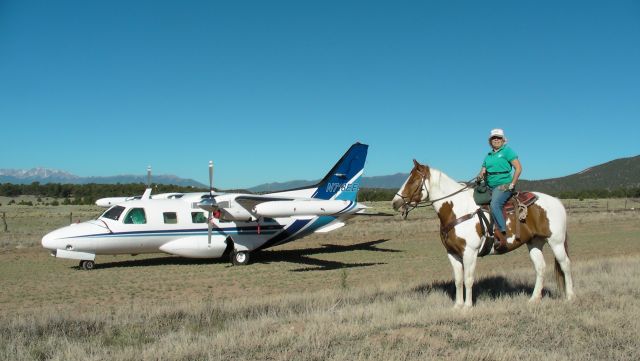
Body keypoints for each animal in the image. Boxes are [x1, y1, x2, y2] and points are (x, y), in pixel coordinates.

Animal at [390, 160, 576, 306]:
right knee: (540, 268)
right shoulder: (452, 253)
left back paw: (570, 296)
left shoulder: (469, 252)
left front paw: (467, 306)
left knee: (565, 264)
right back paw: (534, 299)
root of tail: (557, 201)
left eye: (413, 181)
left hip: (556, 241)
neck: (457, 209)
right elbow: (458, 280)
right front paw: (457, 306)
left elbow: (468, 279)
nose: (395, 202)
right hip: (534, 242)